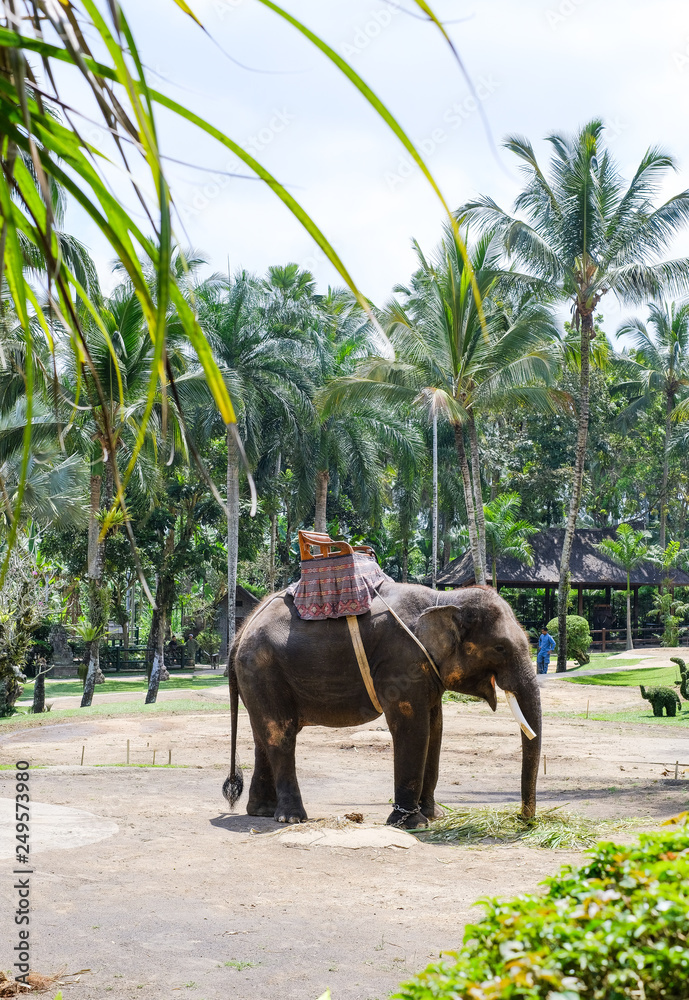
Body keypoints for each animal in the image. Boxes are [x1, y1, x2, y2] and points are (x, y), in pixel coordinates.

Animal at [223, 581, 542, 829]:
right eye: (500, 648)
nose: (525, 819)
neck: (443, 598)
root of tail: (240, 631)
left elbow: (435, 729)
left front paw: (433, 816)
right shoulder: (400, 661)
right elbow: (413, 728)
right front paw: (410, 824)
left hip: (258, 677)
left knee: (263, 734)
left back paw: (263, 812)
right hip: (263, 669)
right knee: (281, 733)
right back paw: (291, 819)